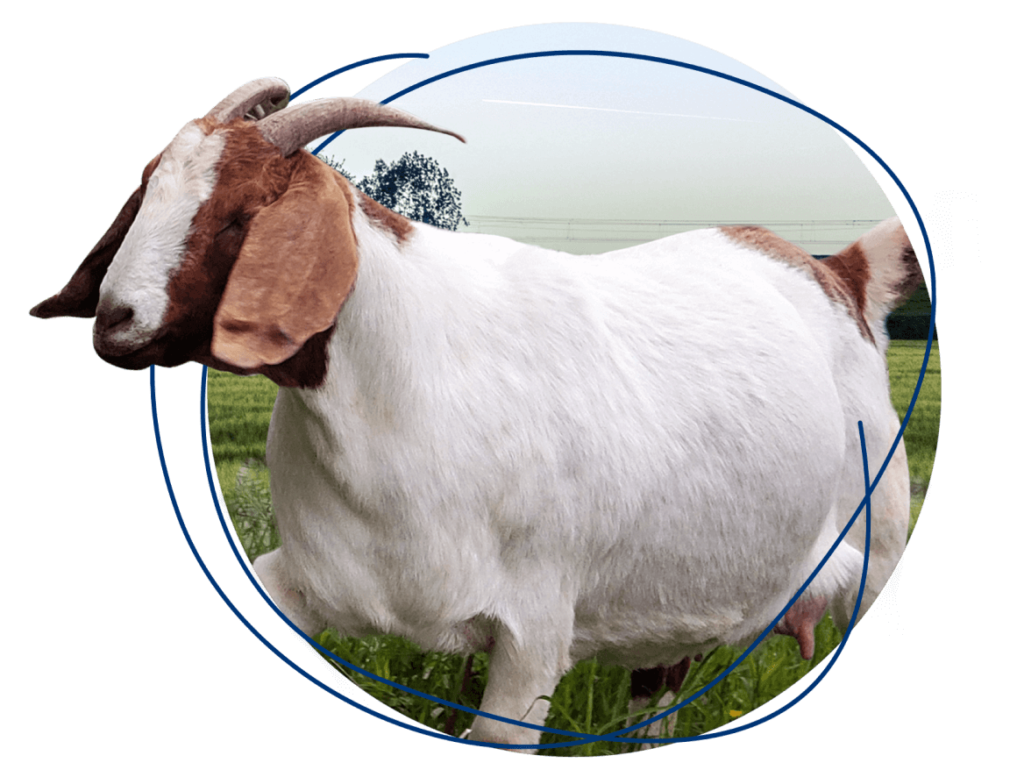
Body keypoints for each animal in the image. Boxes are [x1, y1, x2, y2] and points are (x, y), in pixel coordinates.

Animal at [29, 77, 922, 753]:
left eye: (242, 215)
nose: (116, 319)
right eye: (147, 191)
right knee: (658, 689)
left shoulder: (535, 631)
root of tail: (842, 274)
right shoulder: (321, 577)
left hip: (871, 555)